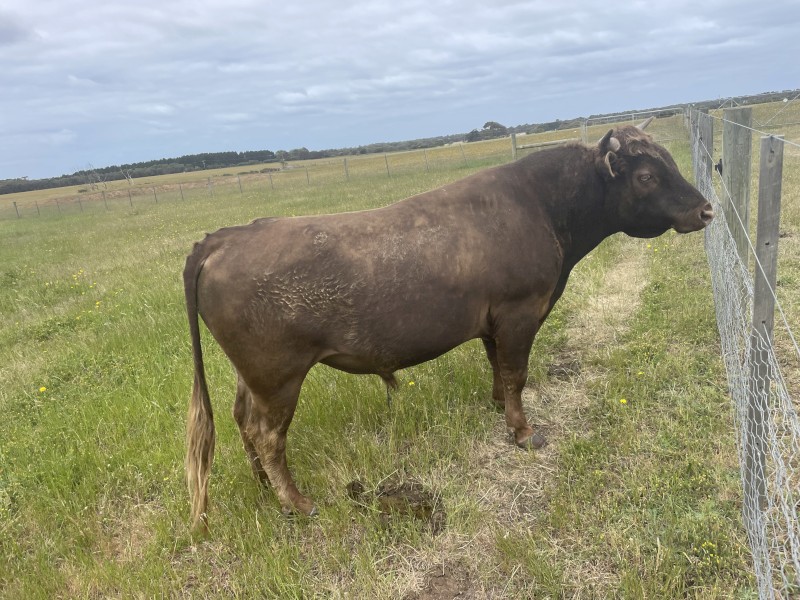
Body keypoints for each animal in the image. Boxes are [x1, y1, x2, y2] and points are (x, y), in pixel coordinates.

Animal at [184, 119, 713, 530]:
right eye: (646, 175)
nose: (706, 208)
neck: (542, 206)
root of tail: (223, 238)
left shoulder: (494, 321)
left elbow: (499, 369)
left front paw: (499, 408)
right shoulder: (520, 312)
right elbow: (517, 373)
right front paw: (524, 433)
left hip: (253, 375)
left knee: (242, 421)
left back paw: (262, 486)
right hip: (278, 376)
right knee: (268, 434)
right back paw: (297, 502)